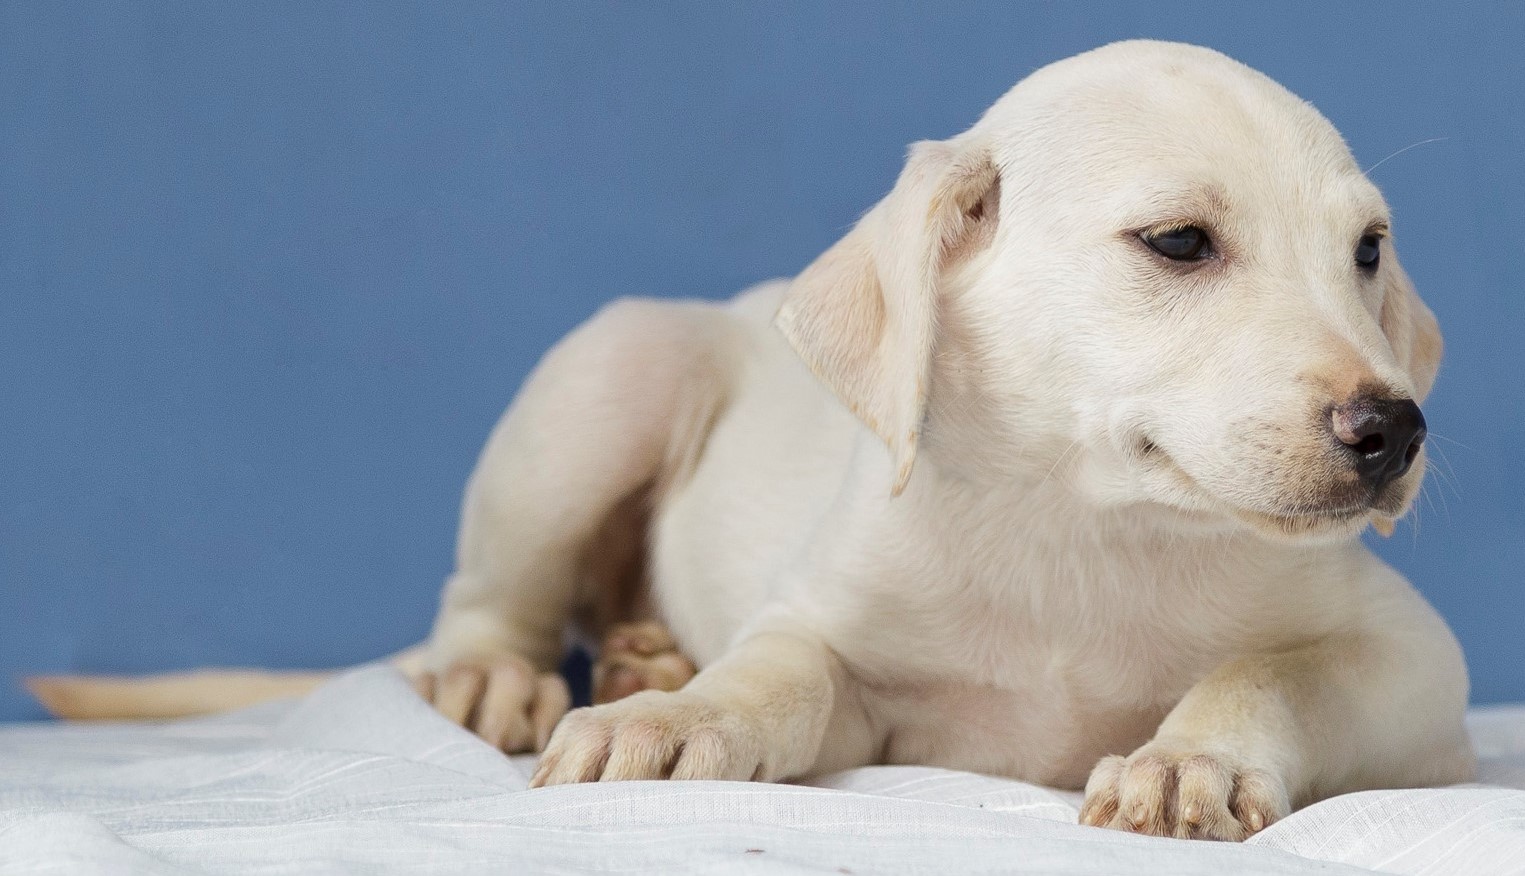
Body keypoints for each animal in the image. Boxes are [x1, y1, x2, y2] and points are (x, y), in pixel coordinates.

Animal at [35, 41, 1470, 842]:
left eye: (1366, 252)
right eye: (1178, 242)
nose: (1392, 430)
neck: (1083, 525)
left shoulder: (1414, 670)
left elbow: (1267, 672)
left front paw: (1188, 759)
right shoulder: (826, 631)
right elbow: (773, 676)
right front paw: (677, 720)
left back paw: (639, 650)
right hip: (603, 378)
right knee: (485, 602)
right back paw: (525, 681)